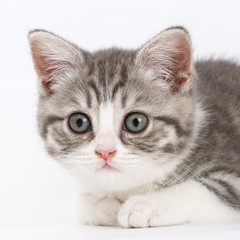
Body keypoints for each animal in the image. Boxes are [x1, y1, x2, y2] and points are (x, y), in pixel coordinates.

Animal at [28, 27, 240, 228]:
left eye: (136, 122)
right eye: (79, 123)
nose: (105, 152)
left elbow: (200, 189)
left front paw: (144, 205)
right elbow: (83, 203)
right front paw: (107, 205)